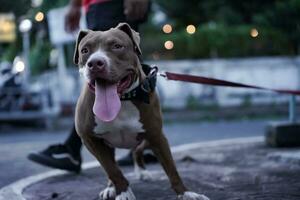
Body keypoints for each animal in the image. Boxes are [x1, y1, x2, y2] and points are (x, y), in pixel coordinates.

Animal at [74, 22, 210, 200]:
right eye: (85, 50)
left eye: (117, 46)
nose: (95, 63)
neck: (123, 100)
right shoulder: (90, 140)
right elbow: (112, 169)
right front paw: (123, 192)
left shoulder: (157, 136)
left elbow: (171, 169)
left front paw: (185, 193)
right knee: (112, 164)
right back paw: (111, 187)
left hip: (146, 138)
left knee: (137, 151)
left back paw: (142, 172)